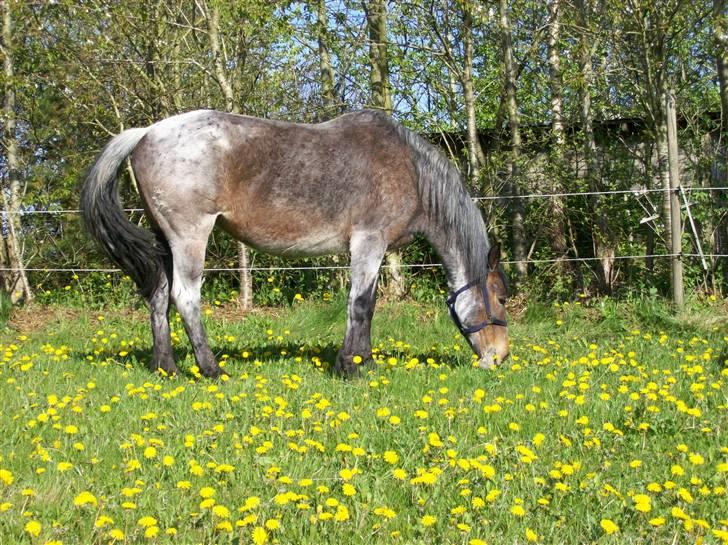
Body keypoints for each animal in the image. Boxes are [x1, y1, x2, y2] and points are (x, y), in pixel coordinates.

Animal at [79, 108, 510, 376]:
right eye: (502, 297)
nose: (501, 357)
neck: (409, 169)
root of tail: (146, 133)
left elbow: (367, 306)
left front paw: (364, 362)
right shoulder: (368, 242)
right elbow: (360, 304)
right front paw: (351, 366)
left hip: (164, 239)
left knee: (158, 295)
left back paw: (166, 368)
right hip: (190, 236)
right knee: (185, 297)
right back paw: (212, 369)